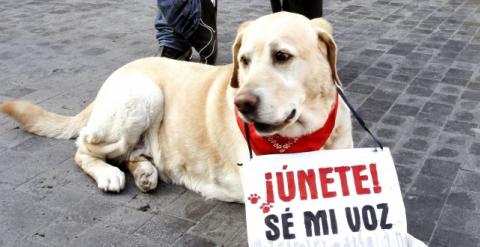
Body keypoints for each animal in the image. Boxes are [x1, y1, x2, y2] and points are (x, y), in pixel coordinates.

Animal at [0, 12, 352, 203]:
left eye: (282, 56)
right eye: (244, 60)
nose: (242, 103)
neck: (304, 136)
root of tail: (115, 75)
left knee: (129, 154)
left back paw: (144, 172)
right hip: (144, 95)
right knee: (83, 148)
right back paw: (108, 175)